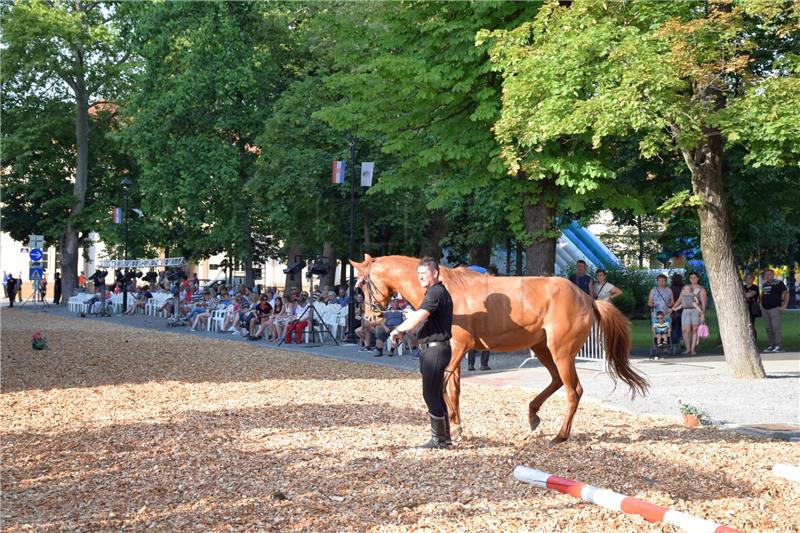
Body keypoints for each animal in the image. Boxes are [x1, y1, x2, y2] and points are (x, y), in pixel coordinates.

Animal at [352, 256, 648, 442]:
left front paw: (453, 427)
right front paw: (455, 426)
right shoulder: (456, 353)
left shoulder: (458, 349)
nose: (369, 317)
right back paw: (532, 415)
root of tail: (586, 297)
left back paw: (560, 435)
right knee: (555, 381)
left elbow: (445, 387)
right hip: (542, 348)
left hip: (561, 352)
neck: (446, 289)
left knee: (573, 390)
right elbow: (453, 389)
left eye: (363, 284)